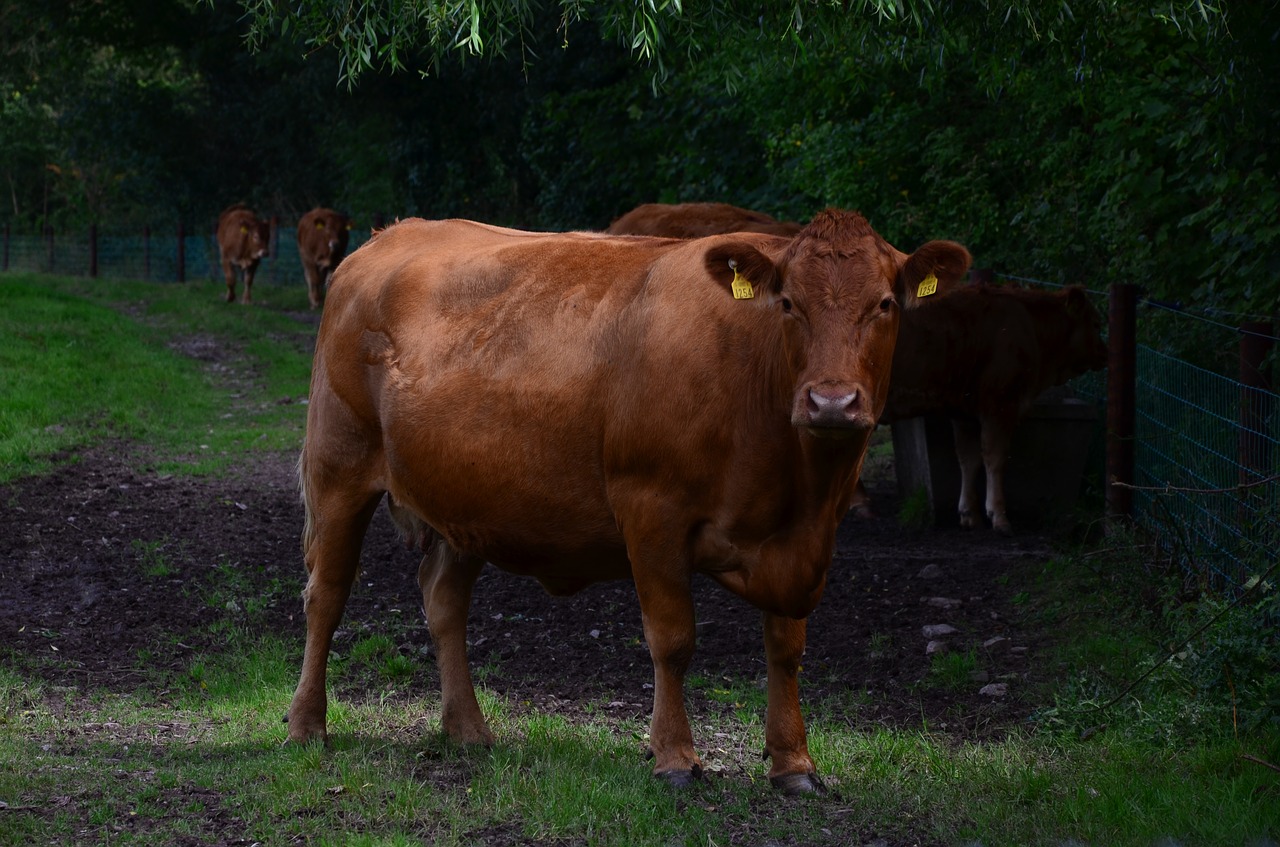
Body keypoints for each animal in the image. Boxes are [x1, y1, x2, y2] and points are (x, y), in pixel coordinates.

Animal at [288, 208, 967, 793]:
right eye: (788, 304)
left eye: (884, 305)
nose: (831, 402)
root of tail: (393, 233)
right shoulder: (651, 511)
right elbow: (672, 638)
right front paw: (675, 758)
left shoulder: (803, 542)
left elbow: (787, 649)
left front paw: (793, 764)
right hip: (337, 466)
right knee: (326, 596)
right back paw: (306, 726)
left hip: (464, 499)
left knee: (443, 599)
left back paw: (469, 730)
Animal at [849, 286, 1111, 537]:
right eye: (1096, 323)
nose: (1105, 353)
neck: (1030, 325)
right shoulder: (1000, 405)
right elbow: (995, 459)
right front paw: (999, 517)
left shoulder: (964, 412)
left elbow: (969, 458)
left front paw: (970, 515)